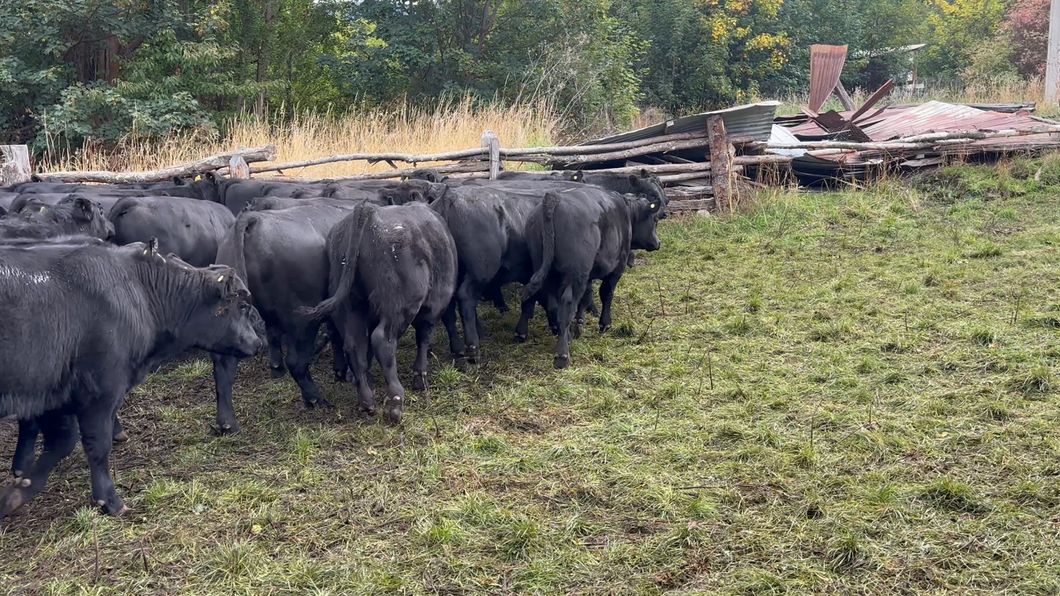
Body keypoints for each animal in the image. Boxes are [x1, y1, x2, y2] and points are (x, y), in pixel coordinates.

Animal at [0, 239, 262, 518]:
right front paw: (109, 500)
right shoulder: (100, 393)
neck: (138, 293)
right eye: (242, 306)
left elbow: (57, 442)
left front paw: (17, 489)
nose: (258, 343)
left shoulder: (51, 397)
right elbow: (94, 445)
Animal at [301, 202, 458, 423]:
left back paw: (367, 401)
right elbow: (424, 336)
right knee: (382, 340)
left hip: (351, 304)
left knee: (355, 344)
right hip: (398, 306)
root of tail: (368, 210)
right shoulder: (435, 305)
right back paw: (395, 400)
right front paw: (420, 376)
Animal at [522, 187, 661, 369]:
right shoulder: (617, 268)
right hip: (575, 272)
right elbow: (606, 294)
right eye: (655, 219)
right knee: (567, 304)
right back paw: (562, 355)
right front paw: (604, 323)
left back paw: (563, 334)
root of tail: (554, 197)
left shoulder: (588, 274)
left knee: (551, 302)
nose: (658, 243)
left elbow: (586, 297)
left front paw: (580, 322)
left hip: (545, 266)